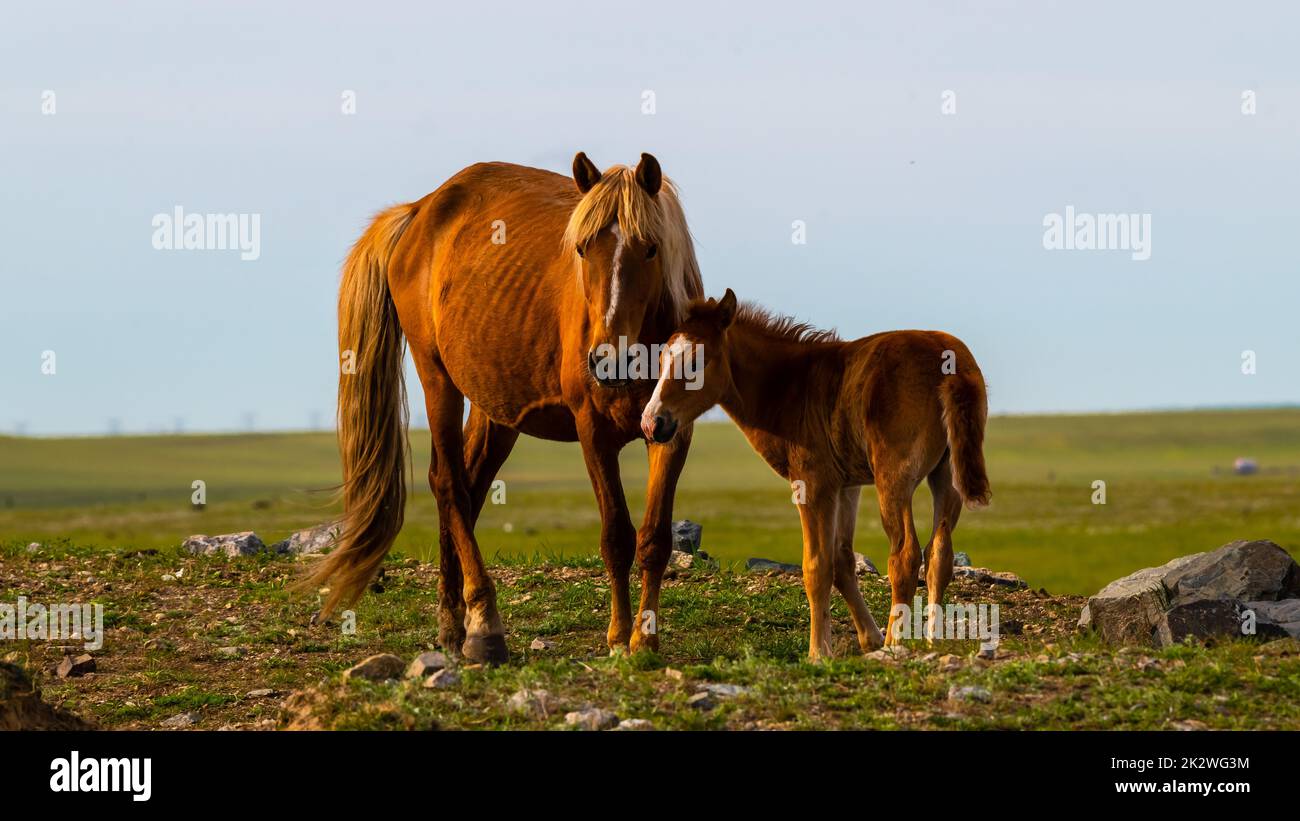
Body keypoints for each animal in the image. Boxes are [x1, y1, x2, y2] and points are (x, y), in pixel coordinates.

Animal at [302, 153, 703, 664]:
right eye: (581, 249)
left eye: (650, 249)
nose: (608, 359)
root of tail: (420, 210)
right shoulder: (592, 431)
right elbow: (616, 536)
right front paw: (617, 638)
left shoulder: (673, 433)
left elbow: (654, 539)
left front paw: (645, 640)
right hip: (438, 379)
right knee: (449, 485)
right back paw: (484, 627)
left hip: (494, 410)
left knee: (467, 490)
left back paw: (453, 623)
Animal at [639, 289, 991, 659]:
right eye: (660, 360)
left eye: (696, 363)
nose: (651, 423)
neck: (790, 387)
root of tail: (948, 363)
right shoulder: (847, 486)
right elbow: (841, 560)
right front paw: (868, 638)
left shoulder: (812, 483)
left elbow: (816, 566)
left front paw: (819, 652)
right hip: (946, 476)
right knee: (939, 554)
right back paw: (930, 640)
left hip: (893, 478)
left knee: (905, 553)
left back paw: (895, 644)